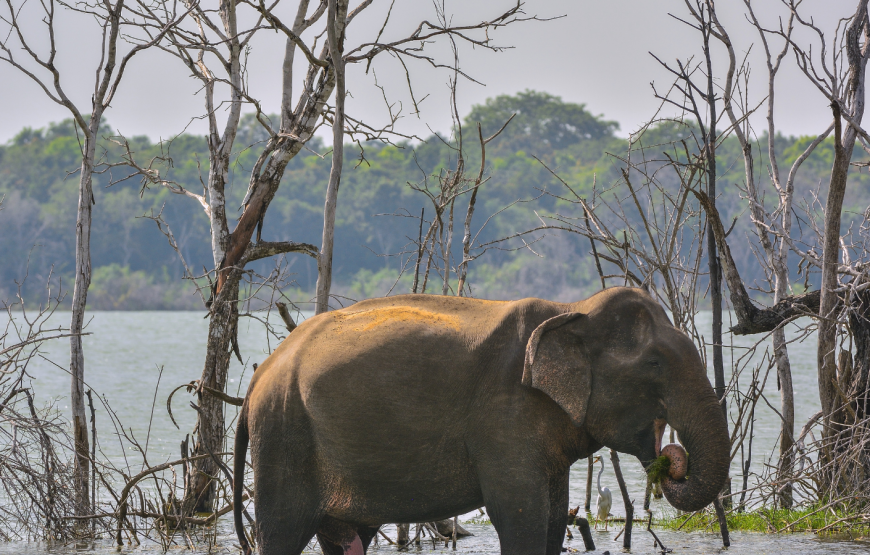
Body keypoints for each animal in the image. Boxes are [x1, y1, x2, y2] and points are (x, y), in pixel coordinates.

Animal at [235, 286, 732, 555]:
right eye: (654, 364)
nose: (673, 459)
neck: (572, 307)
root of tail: (258, 377)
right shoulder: (504, 418)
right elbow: (521, 514)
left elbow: (553, 518)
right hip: (285, 436)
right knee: (281, 532)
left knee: (344, 535)